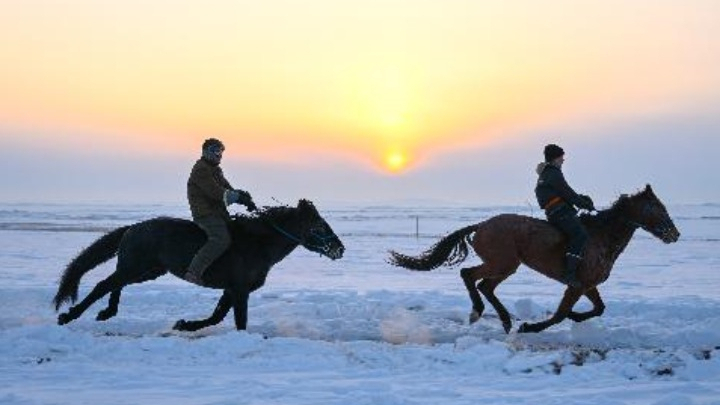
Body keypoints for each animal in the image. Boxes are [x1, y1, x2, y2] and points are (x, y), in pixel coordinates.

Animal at [53, 199, 345, 332]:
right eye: (319, 226)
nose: (340, 249)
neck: (257, 243)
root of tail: (133, 228)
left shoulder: (232, 290)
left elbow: (216, 316)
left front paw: (184, 324)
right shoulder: (240, 290)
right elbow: (238, 320)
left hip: (146, 271)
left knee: (115, 285)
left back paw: (107, 312)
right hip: (136, 267)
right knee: (104, 285)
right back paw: (70, 315)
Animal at [389, 185, 680, 334]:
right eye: (658, 207)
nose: (674, 234)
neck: (602, 237)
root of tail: (481, 225)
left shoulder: (587, 285)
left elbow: (598, 308)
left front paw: (575, 316)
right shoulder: (576, 285)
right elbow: (560, 315)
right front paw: (531, 327)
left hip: (507, 266)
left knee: (485, 286)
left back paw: (504, 320)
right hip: (502, 263)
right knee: (469, 276)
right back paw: (480, 313)